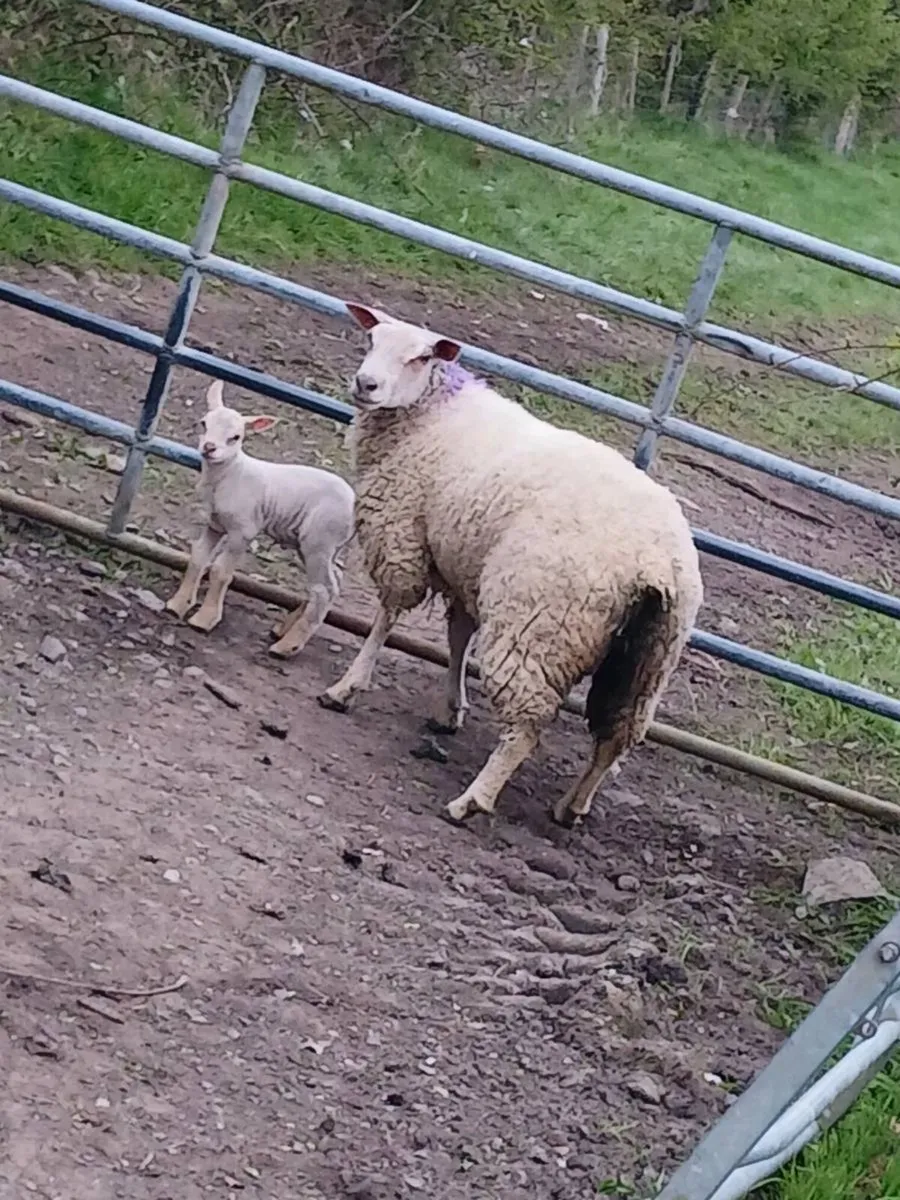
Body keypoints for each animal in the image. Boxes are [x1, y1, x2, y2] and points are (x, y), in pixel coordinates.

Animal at [165, 379, 355, 658]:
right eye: (203, 424)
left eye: (236, 437)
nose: (209, 448)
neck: (229, 474)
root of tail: (356, 505)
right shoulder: (214, 523)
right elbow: (198, 557)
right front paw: (177, 605)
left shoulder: (243, 529)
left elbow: (221, 570)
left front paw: (204, 620)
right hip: (323, 545)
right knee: (333, 582)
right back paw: (283, 629)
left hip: (320, 539)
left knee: (323, 590)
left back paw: (286, 647)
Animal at [318, 303, 703, 827]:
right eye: (371, 340)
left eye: (420, 357)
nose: (366, 384)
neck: (431, 416)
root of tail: (657, 561)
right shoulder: (463, 563)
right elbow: (458, 636)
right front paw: (450, 709)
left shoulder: (401, 534)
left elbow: (386, 617)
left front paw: (348, 686)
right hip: (648, 657)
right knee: (618, 733)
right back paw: (571, 805)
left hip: (540, 623)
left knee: (528, 725)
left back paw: (472, 799)